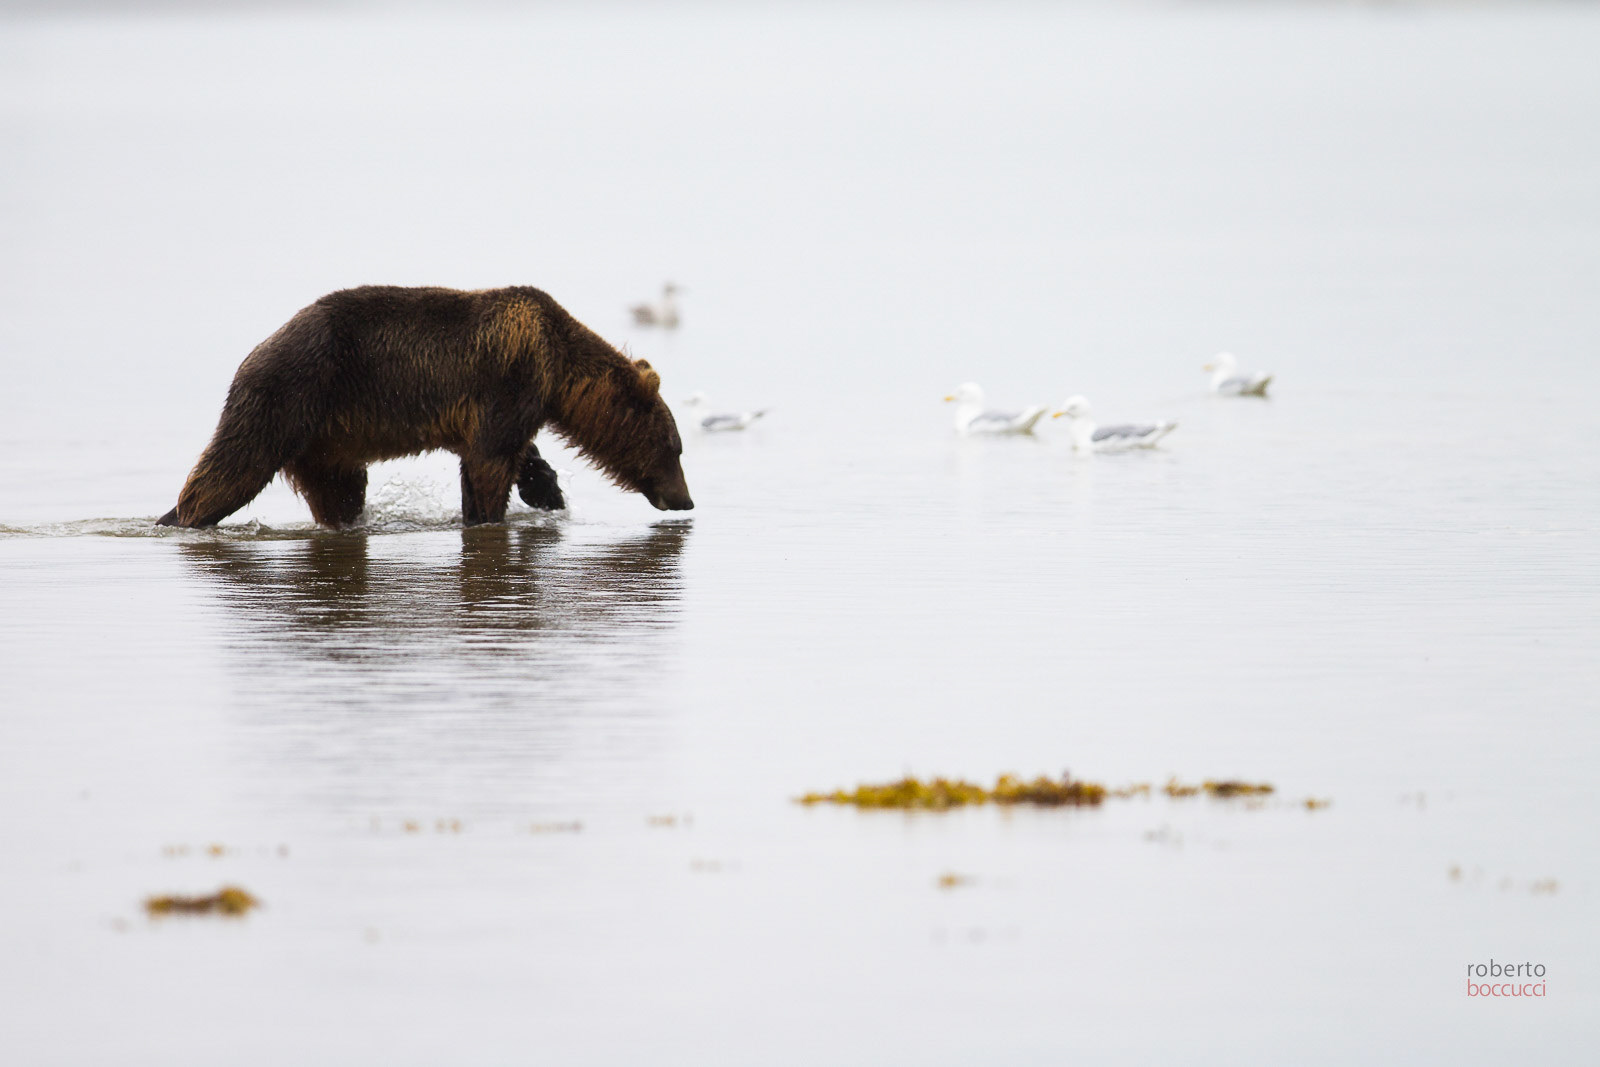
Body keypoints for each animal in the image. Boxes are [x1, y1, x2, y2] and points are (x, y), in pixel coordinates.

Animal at [156, 285, 693, 528]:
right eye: (676, 446)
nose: (685, 500)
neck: (558, 370)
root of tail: (251, 354)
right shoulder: (510, 378)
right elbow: (491, 460)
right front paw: (492, 513)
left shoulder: (498, 404)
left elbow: (504, 453)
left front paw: (546, 490)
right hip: (287, 395)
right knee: (233, 466)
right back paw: (180, 515)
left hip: (326, 445)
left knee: (341, 492)